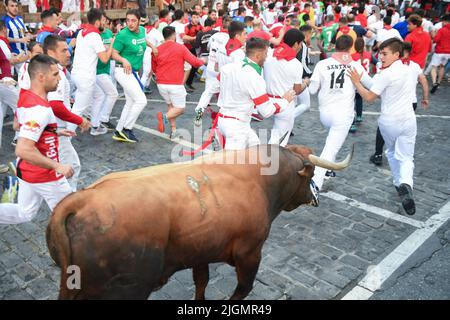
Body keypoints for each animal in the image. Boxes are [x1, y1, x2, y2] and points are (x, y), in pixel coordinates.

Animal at [46, 145, 352, 300]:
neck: (261, 180)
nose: (315, 196)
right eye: (310, 173)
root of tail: (83, 199)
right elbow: (243, 289)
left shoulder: (201, 251)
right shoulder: (250, 253)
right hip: (122, 291)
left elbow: (202, 283)